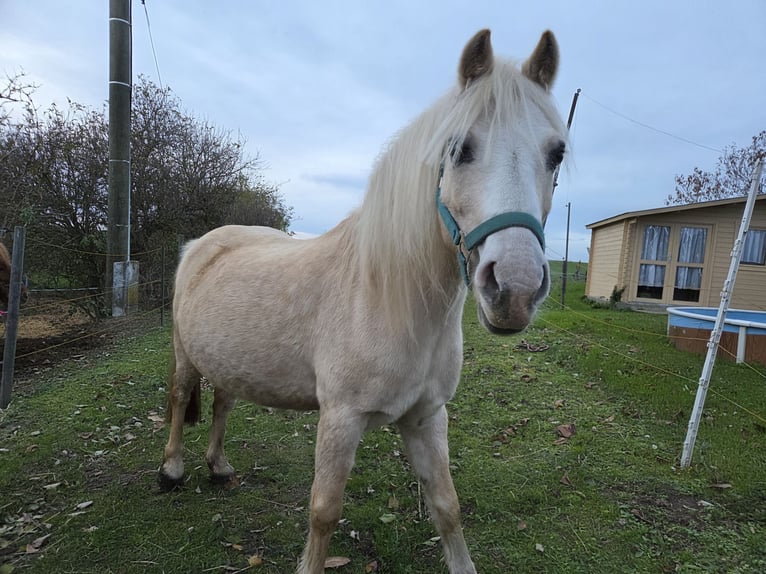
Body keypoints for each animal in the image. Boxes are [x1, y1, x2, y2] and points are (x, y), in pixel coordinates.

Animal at [160, 29, 567, 574]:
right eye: (459, 148)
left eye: (557, 154)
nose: (515, 289)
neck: (389, 299)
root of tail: (200, 244)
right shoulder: (340, 419)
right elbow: (324, 512)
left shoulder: (428, 417)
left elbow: (447, 506)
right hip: (185, 355)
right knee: (180, 397)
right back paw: (172, 469)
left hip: (230, 360)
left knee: (223, 401)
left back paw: (220, 467)